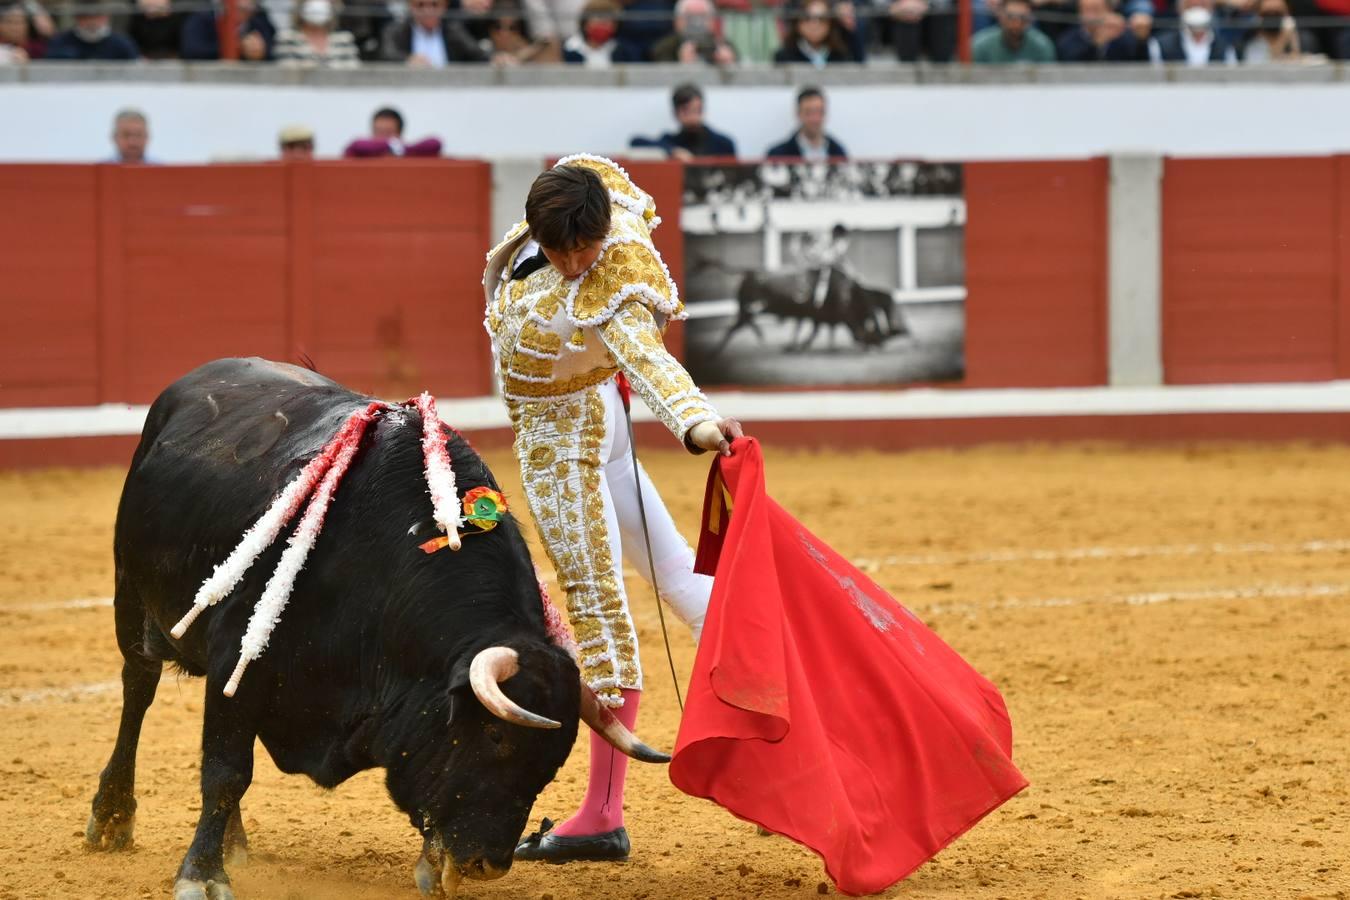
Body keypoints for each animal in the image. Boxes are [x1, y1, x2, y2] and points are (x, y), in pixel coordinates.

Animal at [84, 358, 664, 900]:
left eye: (556, 756)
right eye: (496, 734)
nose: (489, 864)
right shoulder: (238, 658)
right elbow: (227, 770)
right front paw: (201, 875)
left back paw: (233, 841)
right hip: (130, 599)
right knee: (138, 690)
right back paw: (113, 818)